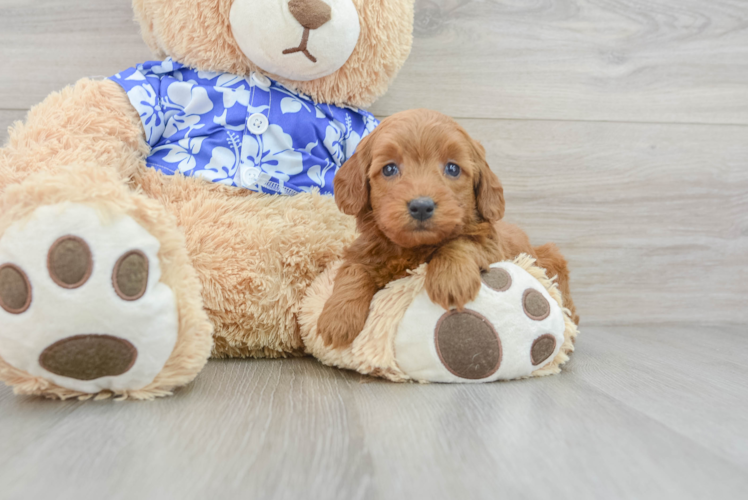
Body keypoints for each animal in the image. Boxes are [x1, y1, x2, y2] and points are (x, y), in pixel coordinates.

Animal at [316, 109, 580, 348]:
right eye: (389, 169)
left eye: (452, 168)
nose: (421, 206)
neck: (414, 249)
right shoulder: (363, 251)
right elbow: (353, 271)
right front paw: (338, 317)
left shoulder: (490, 245)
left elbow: (460, 242)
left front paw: (450, 278)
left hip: (547, 257)